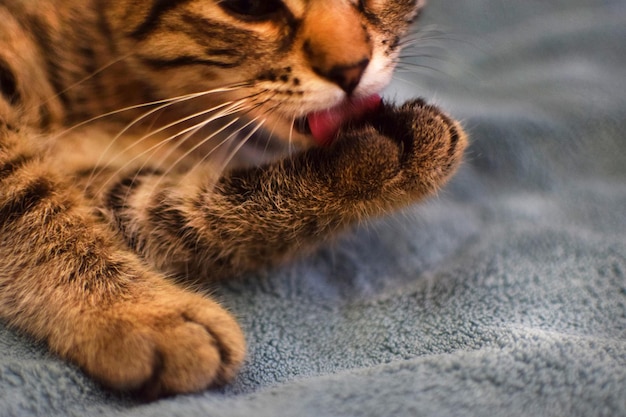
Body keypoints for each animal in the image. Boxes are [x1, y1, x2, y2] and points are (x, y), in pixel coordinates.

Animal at [0, 0, 464, 396]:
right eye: (248, 4)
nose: (349, 70)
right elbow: (29, 206)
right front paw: (140, 314)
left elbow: (177, 214)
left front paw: (365, 167)